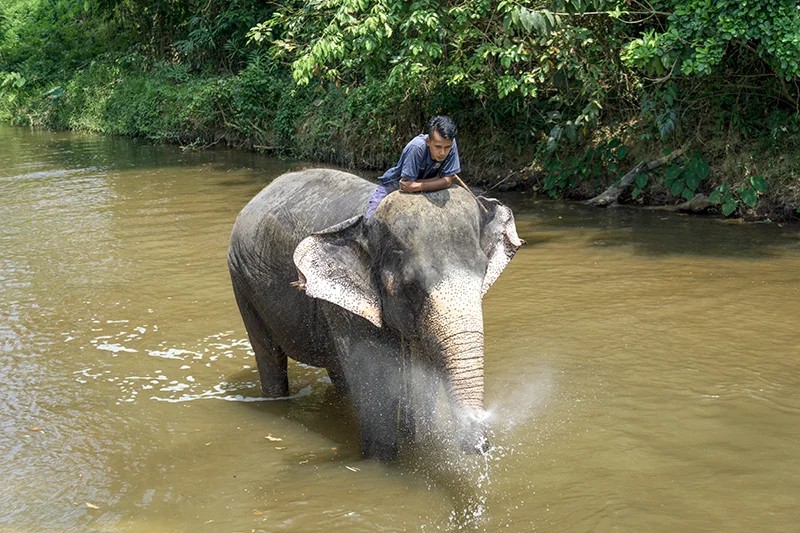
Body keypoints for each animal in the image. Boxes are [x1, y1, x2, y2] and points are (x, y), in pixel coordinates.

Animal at [227, 168, 522, 461]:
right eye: (411, 287)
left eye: (483, 273)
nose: (482, 447)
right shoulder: (348, 306)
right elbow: (375, 374)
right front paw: (382, 461)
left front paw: (418, 443)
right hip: (241, 282)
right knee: (268, 355)